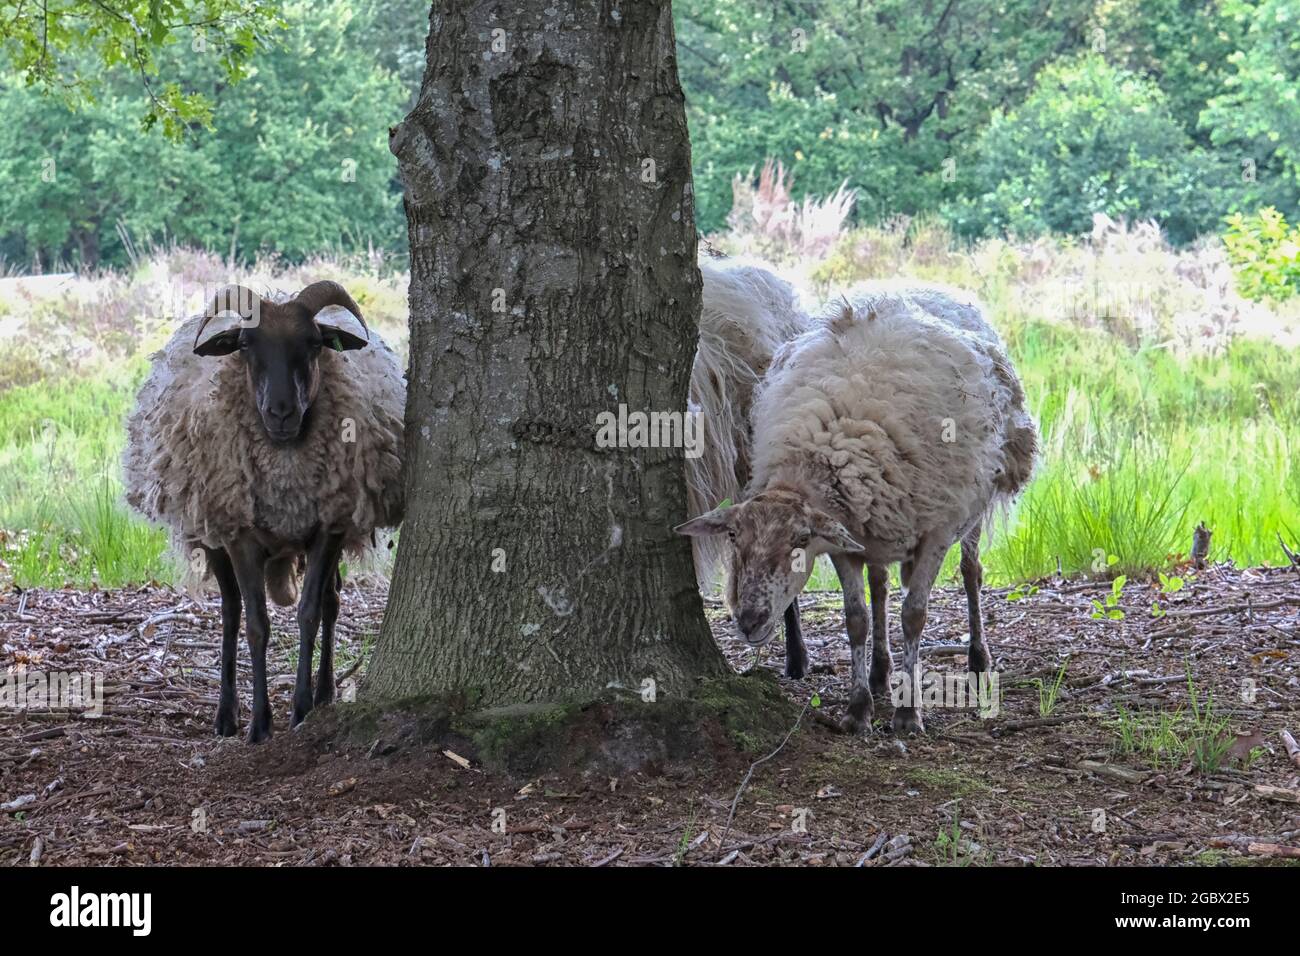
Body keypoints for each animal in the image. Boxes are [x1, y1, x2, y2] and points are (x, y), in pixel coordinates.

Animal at [124, 280, 405, 743]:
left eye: (314, 343)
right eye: (244, 345)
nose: (281, 412)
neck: (285, 467)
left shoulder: (328, 527)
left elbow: (310, 612)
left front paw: (302, 709)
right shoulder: (240, 536)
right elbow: (256, 624)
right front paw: (259, 723)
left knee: (331, 600)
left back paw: (325, 692)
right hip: (213, 530)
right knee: (230, 611)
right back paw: (226, 714)